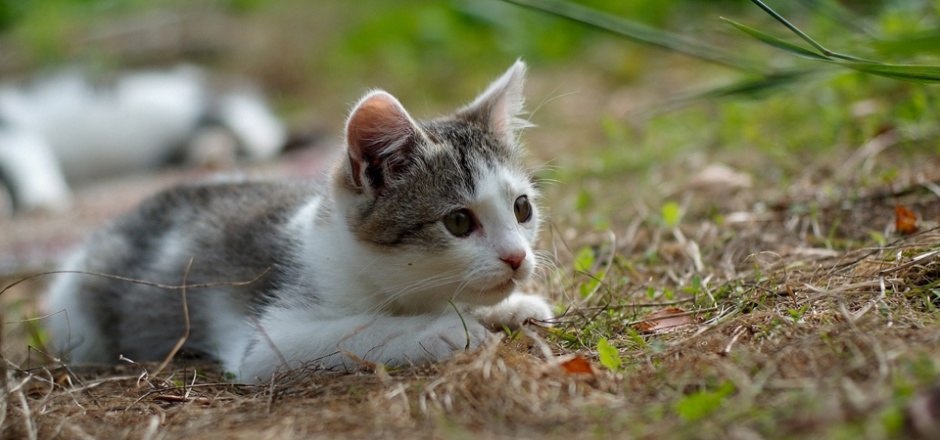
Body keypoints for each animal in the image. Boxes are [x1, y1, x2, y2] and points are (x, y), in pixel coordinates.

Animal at [0, 66, 286, 214]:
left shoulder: (12, 129)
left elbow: (32, 158)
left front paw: (42, 199)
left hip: (165, 105)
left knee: (231, 108)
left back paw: (256, 141)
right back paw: (212, 150)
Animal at [44, 61, 556, 382]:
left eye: (522, 209)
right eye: (458, 222)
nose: (516, 258)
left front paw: (509, 308)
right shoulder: (266, 342)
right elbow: (358, 330)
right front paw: (445, 329)